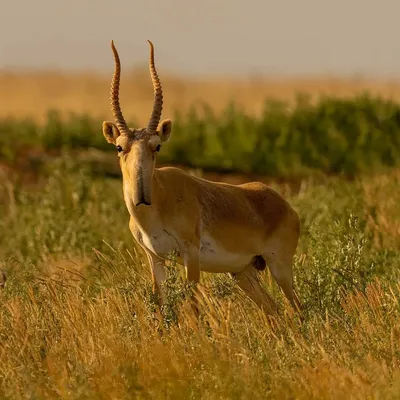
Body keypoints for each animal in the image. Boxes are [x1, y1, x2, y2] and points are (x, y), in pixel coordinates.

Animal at [101, 40, 302, 316]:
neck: (161, 199)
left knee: (298, 308)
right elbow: (161, 302)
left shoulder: (190, 252)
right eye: (120, 147)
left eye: (157, 146)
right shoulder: (155, 257)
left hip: (279, 267)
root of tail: (286, 206)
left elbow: (193, 303)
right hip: (243, 272)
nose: (142, 195)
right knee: (273, 310)